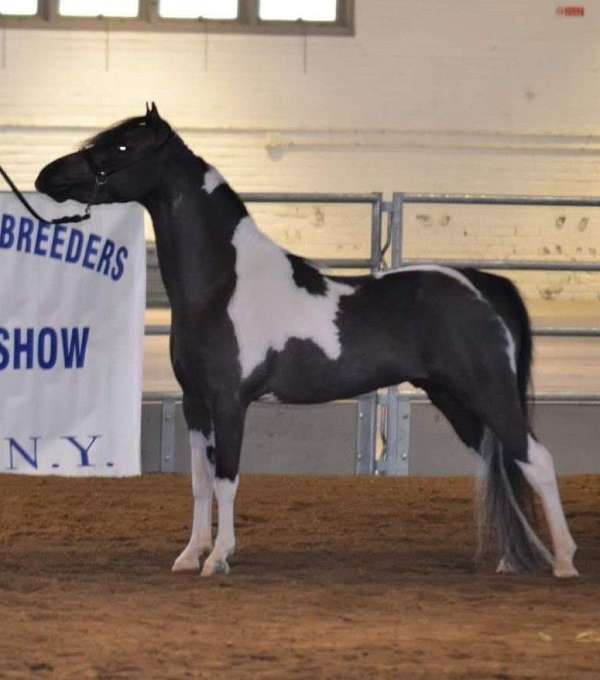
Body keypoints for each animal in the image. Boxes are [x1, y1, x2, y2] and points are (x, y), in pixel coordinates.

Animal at [36, 105, 576, 580]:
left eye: (122, 145)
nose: (47, 176)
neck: (224, 284)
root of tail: (485, 285)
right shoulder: (194, 404)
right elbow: (199, 483)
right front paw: (191, 555)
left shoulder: (230, 403)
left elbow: (227, 480)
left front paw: (219, 559)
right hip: (455, 399)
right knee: (502, 462)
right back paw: (512, 558)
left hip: (488, 391)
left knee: (538, 460)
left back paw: (564, 562)